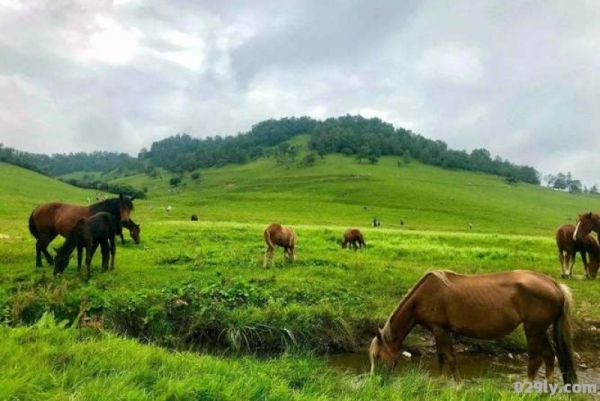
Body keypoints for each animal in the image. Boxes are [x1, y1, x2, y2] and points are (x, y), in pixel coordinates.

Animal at [370, 270, 576, 382]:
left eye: (378, 356)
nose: (375, 380)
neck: (425, 296)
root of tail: (554, 284)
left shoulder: (440, 330)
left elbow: (450, 358)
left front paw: (455, 385)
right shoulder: (439, 331)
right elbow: (441, 358)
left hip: (533, 330)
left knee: (535, 361)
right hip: (540, 331)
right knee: (549, 356)